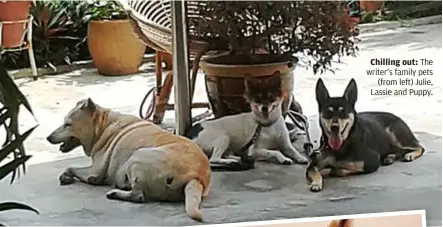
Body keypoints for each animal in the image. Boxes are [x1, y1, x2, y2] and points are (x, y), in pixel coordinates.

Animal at [46, 98, 212, 221]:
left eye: (68, 124)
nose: (48, 137)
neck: (102, 125)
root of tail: (196, 177)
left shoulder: (94, 172)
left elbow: (71, 167)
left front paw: (65, 176)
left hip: (137, 156)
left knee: (138, 196)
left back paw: (116, 193)